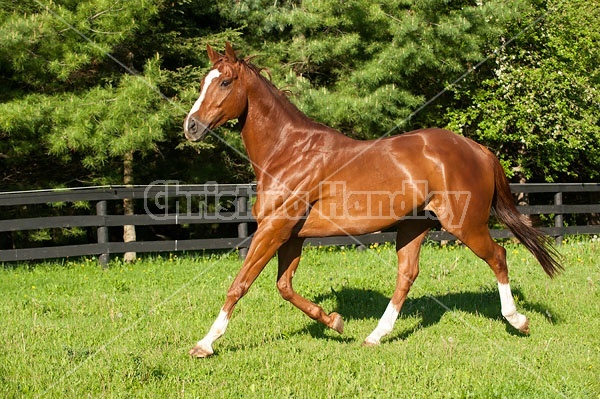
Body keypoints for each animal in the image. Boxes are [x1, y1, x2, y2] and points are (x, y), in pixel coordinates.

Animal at [184, 43, 564, 360]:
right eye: (204, 81)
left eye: (225, 82)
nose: (191, 126)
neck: (289, 152)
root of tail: (479, 150)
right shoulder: (291, 235)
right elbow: (284, 287)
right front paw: (335, 322)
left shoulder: (275, 228)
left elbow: (239, 285)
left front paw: (205, 344)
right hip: (413, 226)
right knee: (407, 275)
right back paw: (375, 336)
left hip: (465, 225)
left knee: (498, 257)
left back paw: (517, 321)